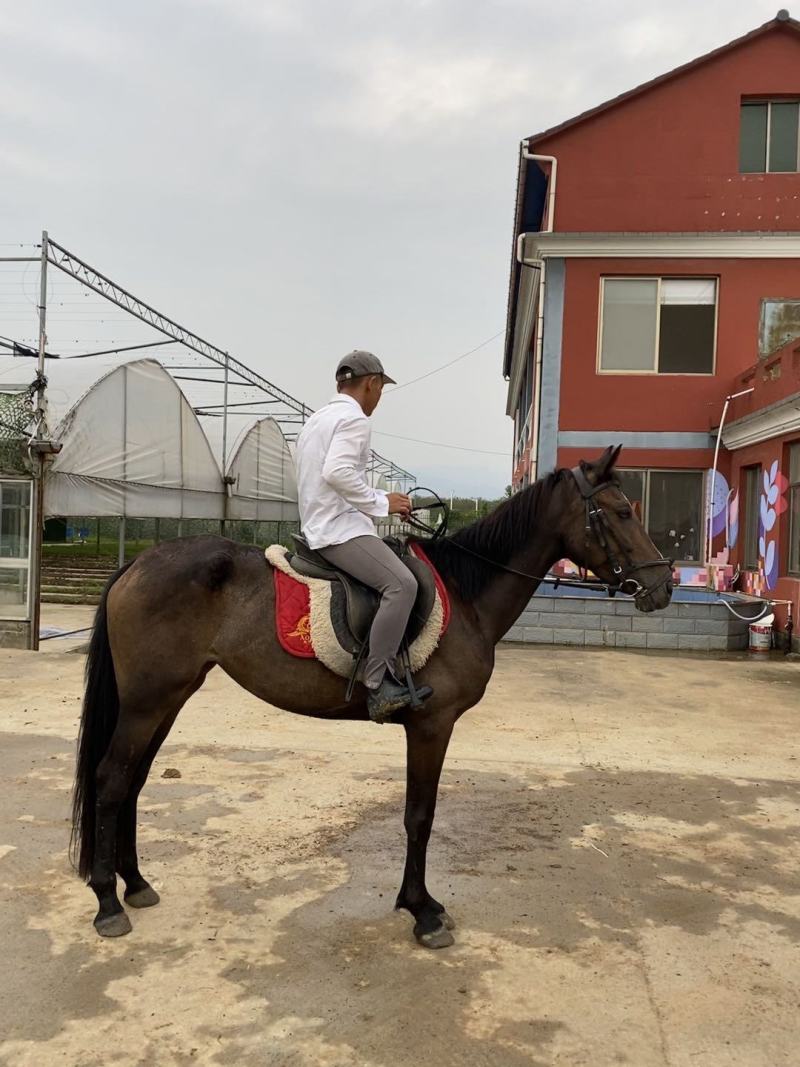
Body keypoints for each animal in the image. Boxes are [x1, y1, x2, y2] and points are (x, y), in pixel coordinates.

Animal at [71, 446, 673, 948]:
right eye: (621, 511)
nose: (663, 585)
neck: (468, 593)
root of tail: (138, 563)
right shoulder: (432, 725)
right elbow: (419, 816)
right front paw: (422, 911)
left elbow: (418, 814)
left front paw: (418, 904)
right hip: (148, 701)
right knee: (111, 780)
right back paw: (107, 903)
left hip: (167, 699)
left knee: (133, 781)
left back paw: (135, 883)